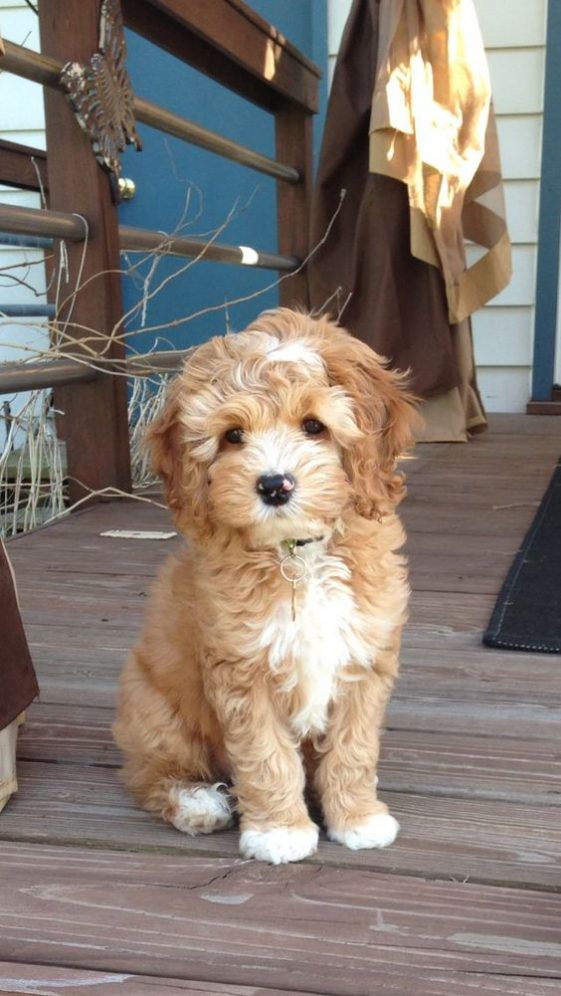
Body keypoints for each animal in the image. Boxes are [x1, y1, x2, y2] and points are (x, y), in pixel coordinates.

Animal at [114, 310, 416, 864]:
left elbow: (354, 749)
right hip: (156, 711)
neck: (297, 556)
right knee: (151, 775)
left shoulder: (364, 658)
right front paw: (280, 831)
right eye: (233, 435)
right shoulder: (243, 670)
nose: (276, 485)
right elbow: (267, 756)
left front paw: (358, 817)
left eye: (314, 426)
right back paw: (196, 803)